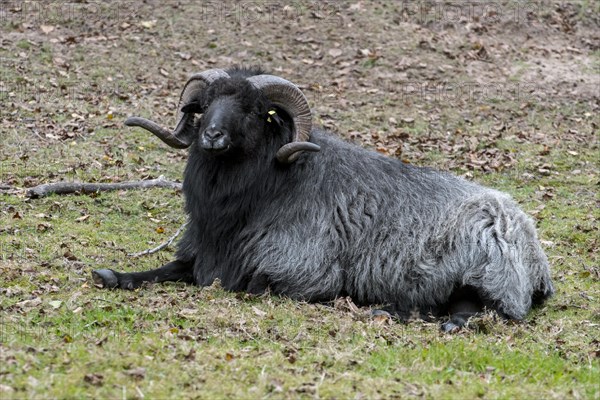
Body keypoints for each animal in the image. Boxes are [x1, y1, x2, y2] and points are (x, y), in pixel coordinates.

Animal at [91, 67, 556, 332]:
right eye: (205, 104)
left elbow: (249, 287)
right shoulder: (203, 253)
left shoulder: (306, 274)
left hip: (486, 275)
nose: (212, 136)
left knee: (475, 312)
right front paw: (113, 276)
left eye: (256, 111)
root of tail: (535, 253)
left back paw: (395, 313)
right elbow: (166, 270)